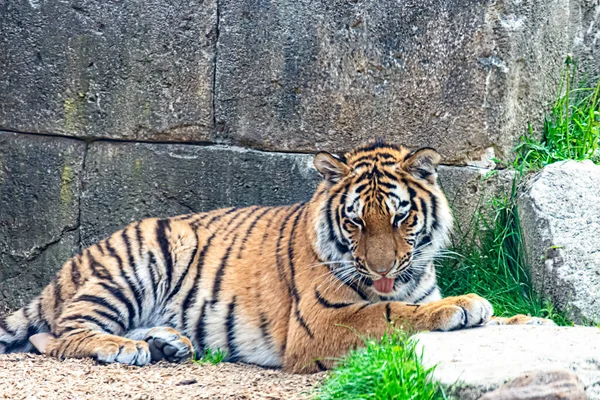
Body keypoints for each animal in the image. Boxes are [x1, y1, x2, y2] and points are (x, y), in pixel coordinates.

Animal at [0, 140, 552, 372]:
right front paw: (463, 306)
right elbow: (390, 311)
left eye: (400, 218)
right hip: (146, 255)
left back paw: (170, 344)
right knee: (57, 334)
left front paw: (530, 322)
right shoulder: (321, 323)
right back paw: (124, 348)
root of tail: (72, 263)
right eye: (356, 221)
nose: (381, 269)